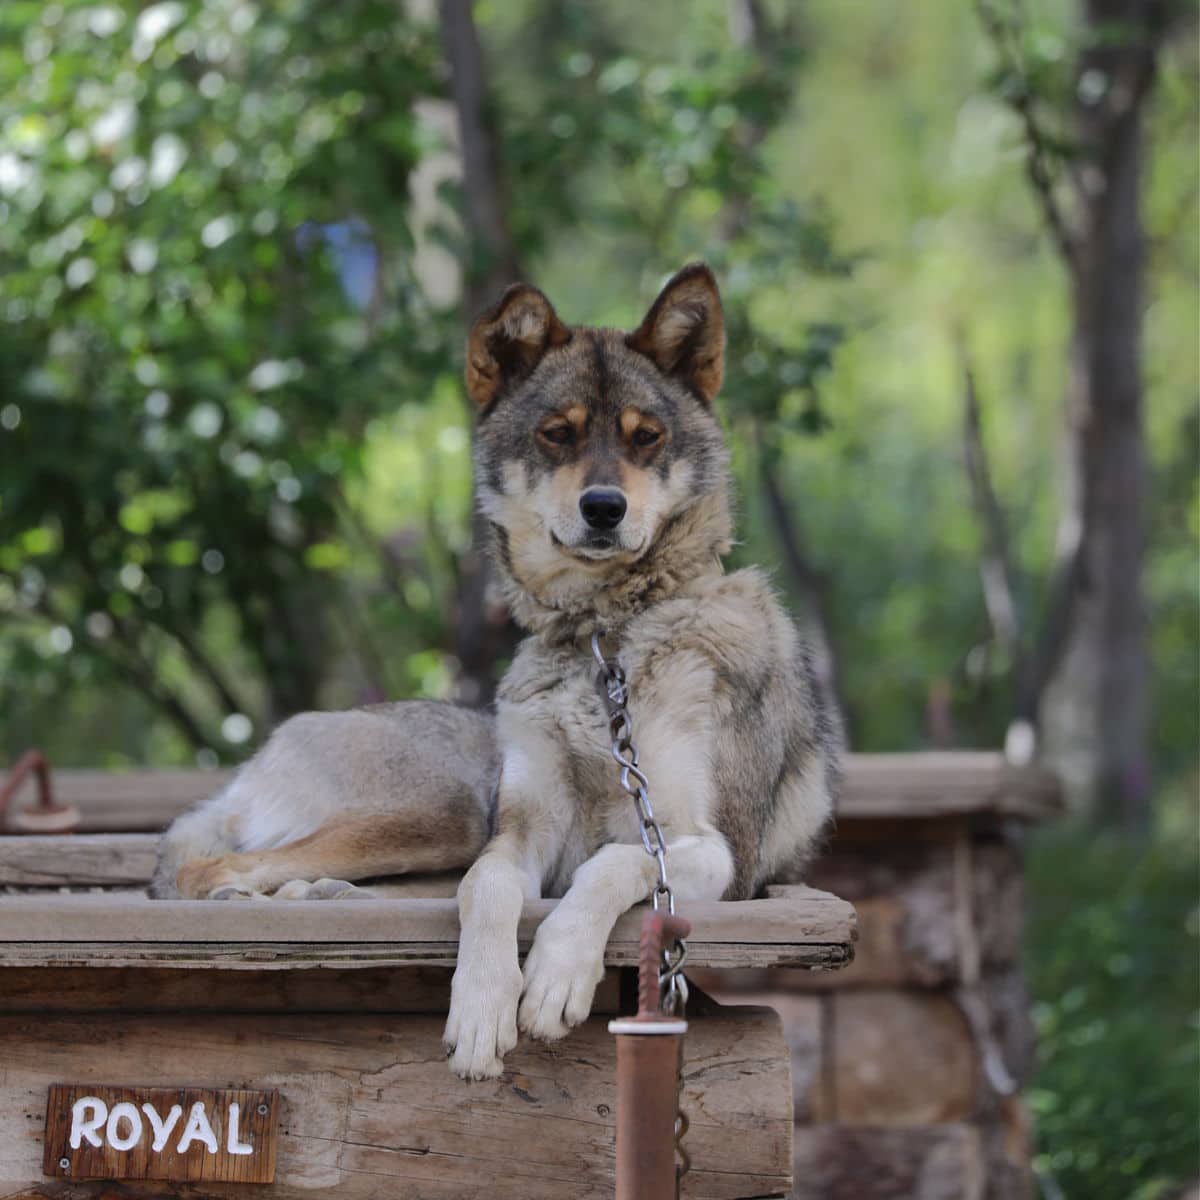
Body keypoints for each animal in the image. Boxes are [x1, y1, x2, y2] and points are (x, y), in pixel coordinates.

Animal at [152, 262, 844, 1080]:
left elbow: (613, 861)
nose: (604, 508)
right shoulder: (517, 835)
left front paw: (554, 976)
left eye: (647, 439)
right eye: (558, 434)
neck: (604, 641)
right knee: (203, 870)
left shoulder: (716, 852)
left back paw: (310, 897)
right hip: (449, 812)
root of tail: (266, 754)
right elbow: (486, 888)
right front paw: (482, 1005)